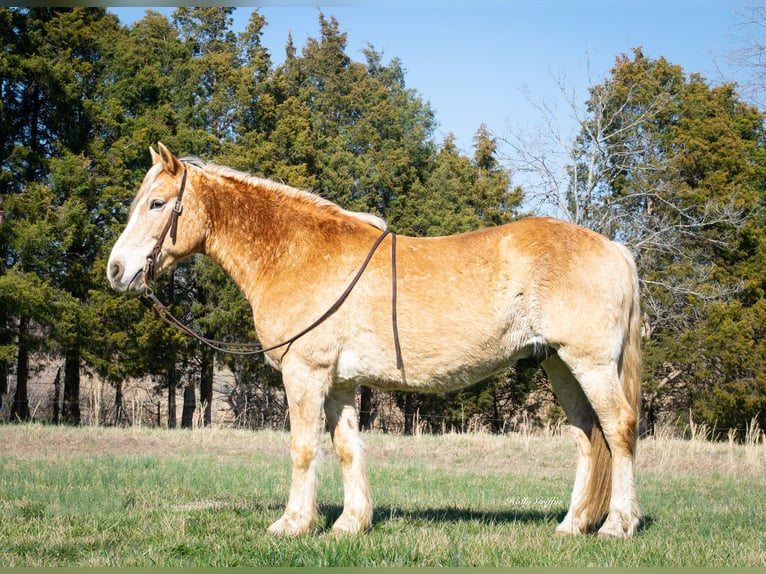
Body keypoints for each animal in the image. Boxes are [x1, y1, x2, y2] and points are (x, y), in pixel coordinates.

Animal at [108, 144, 644, 540]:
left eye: (157, 203)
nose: (116, 270)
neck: (296, 253)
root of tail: (614, 247)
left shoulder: (305, 374)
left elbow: (303, 447)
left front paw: (292, 524)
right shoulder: (341, 384)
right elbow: (346, 447)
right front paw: (351, 523)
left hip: (590, 363)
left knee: (618, 429)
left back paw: (617, 525)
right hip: (559, 365)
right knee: (587, 437)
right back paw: (573, 524)